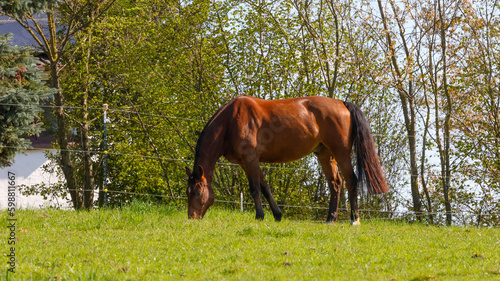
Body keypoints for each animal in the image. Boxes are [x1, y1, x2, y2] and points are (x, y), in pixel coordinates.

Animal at [186, 95, 388, 224]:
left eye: (197, 193)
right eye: (188, 193)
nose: (191, 218)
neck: (231, 121)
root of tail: (342, 104)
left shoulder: (250, 159)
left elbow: (255, 189)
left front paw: (259, 216)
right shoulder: (247, 162)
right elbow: (265, 187)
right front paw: (277, 214)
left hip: (341, 152)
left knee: (351, 180)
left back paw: (355, 219)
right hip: (325, 154)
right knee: (335, 183)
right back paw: (330, 218)